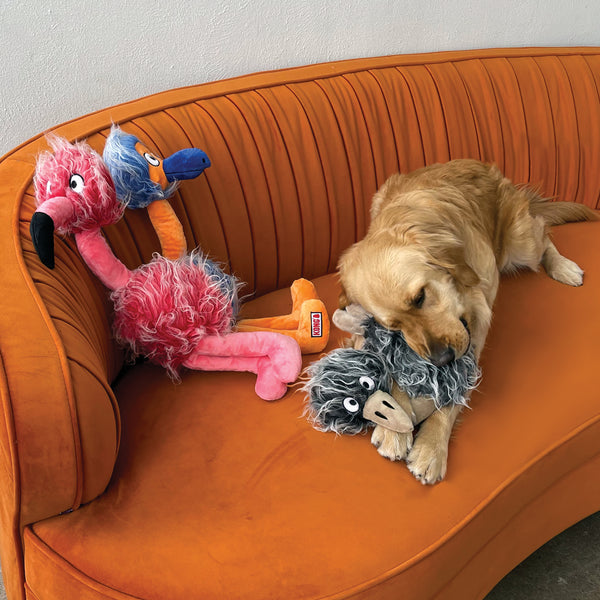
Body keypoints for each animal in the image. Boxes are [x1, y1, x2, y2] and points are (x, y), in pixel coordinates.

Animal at [338, 158, 596, 482]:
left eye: (420, 297)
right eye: (394, 327)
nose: (442, 359)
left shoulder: (478, 321)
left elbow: (455, 390)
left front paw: (432, 447)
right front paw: (393, 427)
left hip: (522, 241)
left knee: (543, 234)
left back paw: (563, 266)